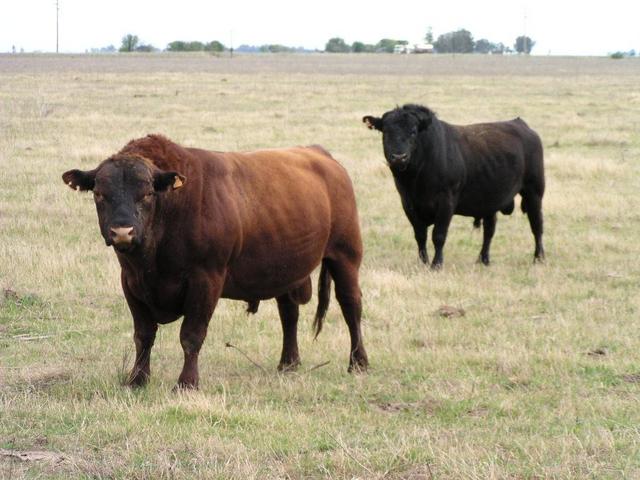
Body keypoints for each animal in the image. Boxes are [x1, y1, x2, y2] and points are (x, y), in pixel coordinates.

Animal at [63, 133, 370, 388]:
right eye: (99, 193)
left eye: (147, 193)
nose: (122, 232)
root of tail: (320, 154)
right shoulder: (131, 283)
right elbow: (144, 335)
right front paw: (137, 379)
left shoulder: (206, 280)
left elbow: (191, 335)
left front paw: (187, 383)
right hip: (286, 268)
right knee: (289, 312)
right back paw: (288, 363)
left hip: (345, 255)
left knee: (351, 305)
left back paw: (358, 363)